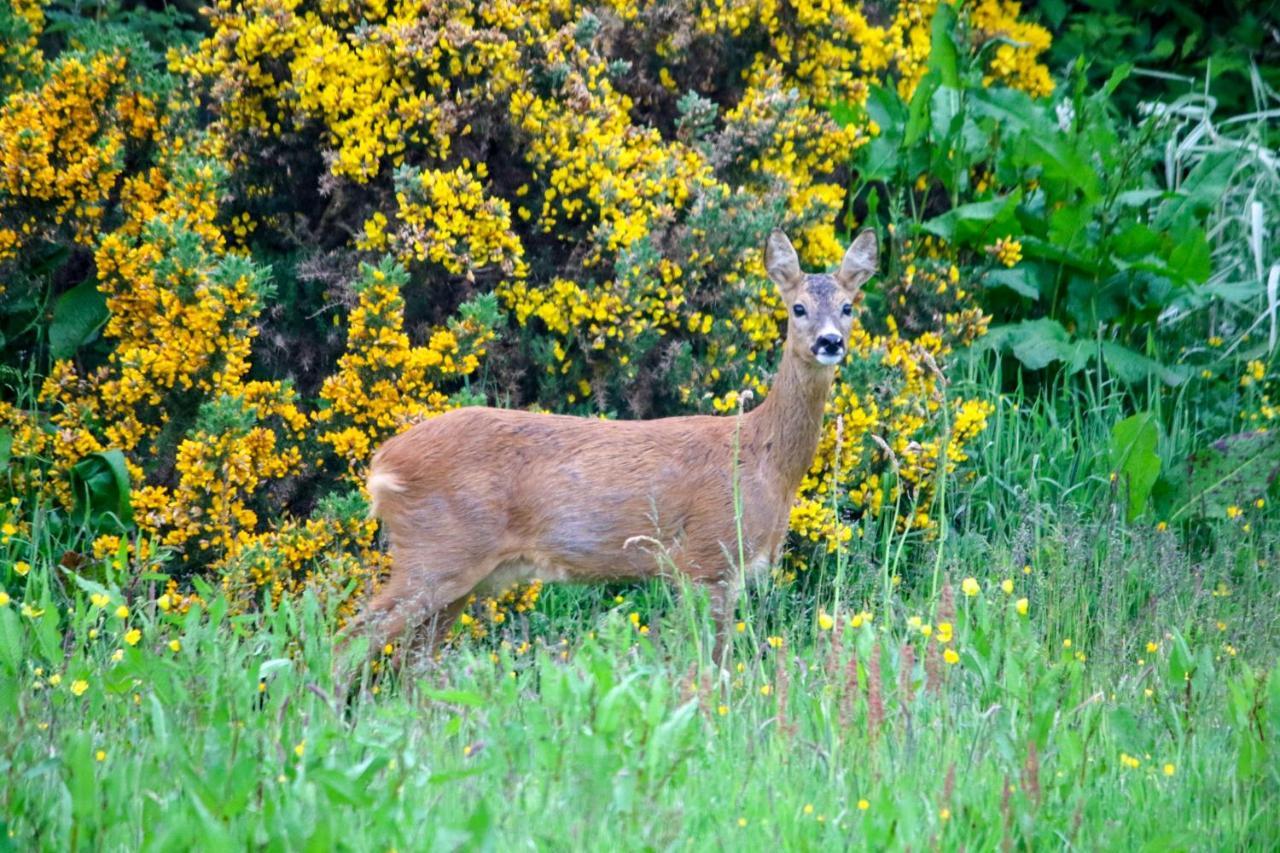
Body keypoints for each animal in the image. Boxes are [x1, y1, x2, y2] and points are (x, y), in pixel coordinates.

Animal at [343, 229, 880, 666]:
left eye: (848, 307)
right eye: (798, 308)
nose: (830, 342)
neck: (762, 458)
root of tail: (382, 464)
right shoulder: (708, 557)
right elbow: (711, 664)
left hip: (454, 572)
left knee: (411, 664)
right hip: (436, 553)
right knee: (351, 637)